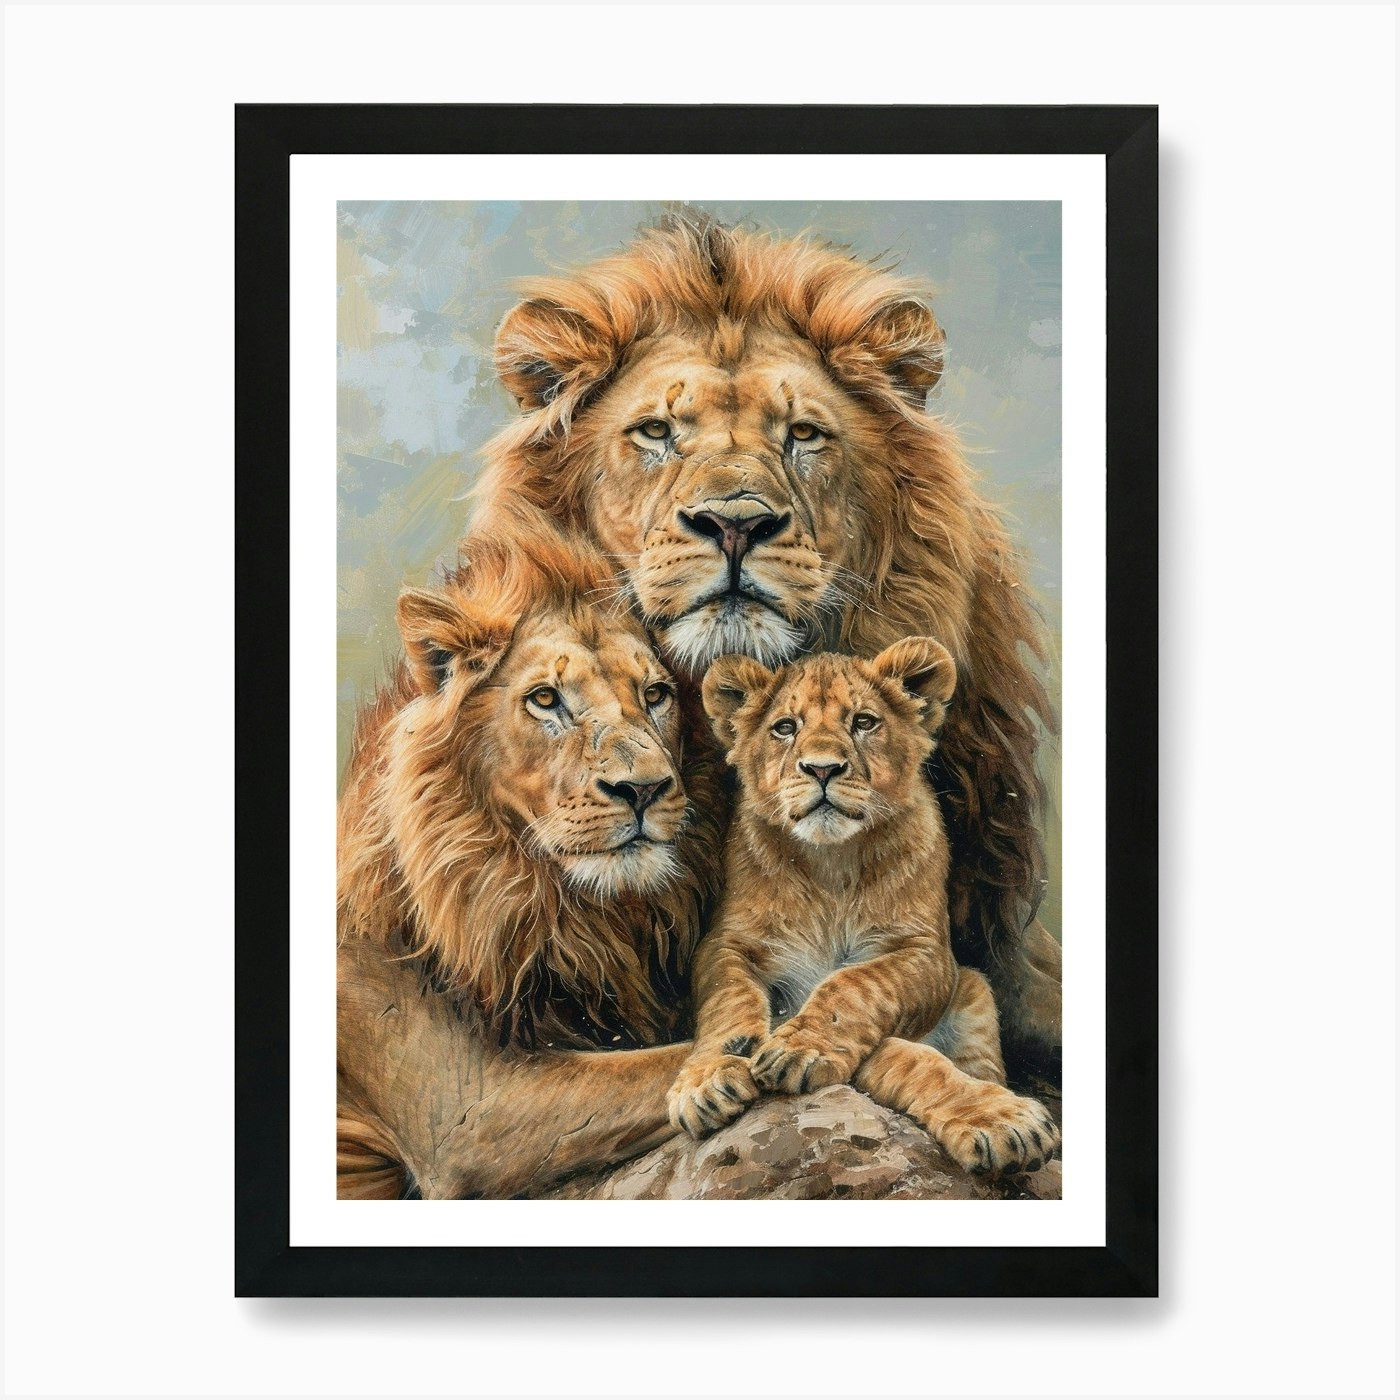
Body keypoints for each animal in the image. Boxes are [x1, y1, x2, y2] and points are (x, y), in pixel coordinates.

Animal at [667, 643, 1058, 1178]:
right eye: (785, 727)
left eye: (864, 722)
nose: (822, 769)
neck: (831, 864)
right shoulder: (725, 944)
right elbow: (728, 1002)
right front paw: (707, 1080)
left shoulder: (927, 953)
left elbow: (856, 986)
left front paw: (800, 1048)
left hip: (974, 989)